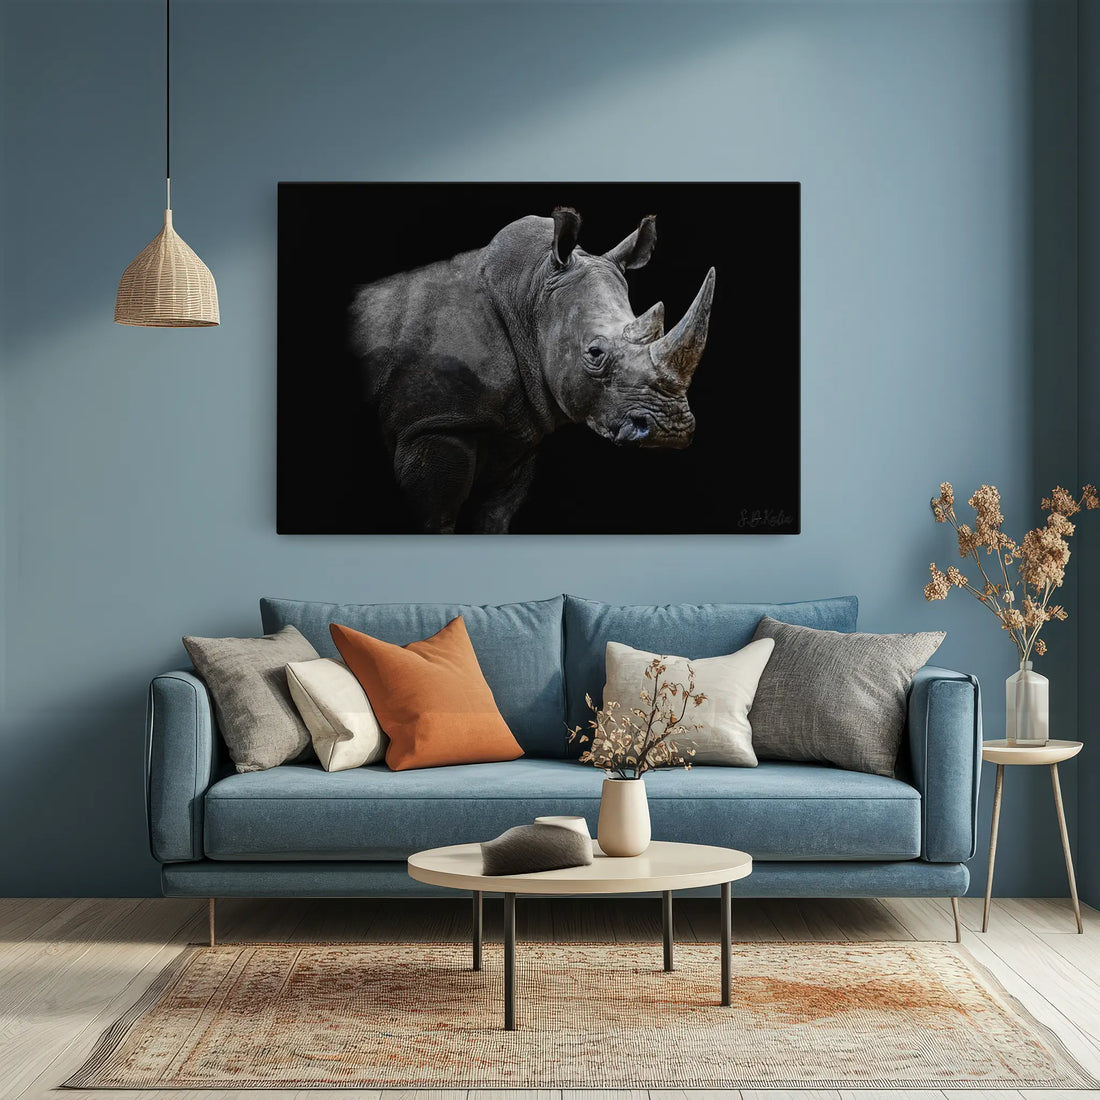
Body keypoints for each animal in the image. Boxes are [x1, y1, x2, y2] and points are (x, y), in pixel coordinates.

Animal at [349, 207, 715, 534]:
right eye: (595, 353)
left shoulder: (517, 435)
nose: (670, 429)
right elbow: (436, 519)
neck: (530, 296)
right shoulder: (433, 426)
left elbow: (494, 518)